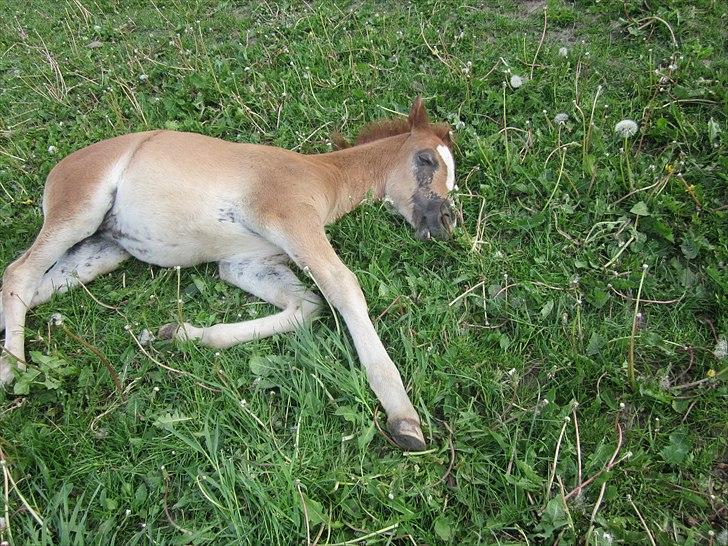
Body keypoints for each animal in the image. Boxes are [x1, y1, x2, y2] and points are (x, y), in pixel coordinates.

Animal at [0, 96, 456, 450]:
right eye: (426, 158)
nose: (446, 222)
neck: (322, 177)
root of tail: (60, 168)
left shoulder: (247, 263)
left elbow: (307, 306)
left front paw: (179, 334)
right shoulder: (291, 219)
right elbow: (343, 288)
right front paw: (403, 415)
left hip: (103, 249)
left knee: (34, 288)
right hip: (78, 211)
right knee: (17, 273)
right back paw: (12, 369)